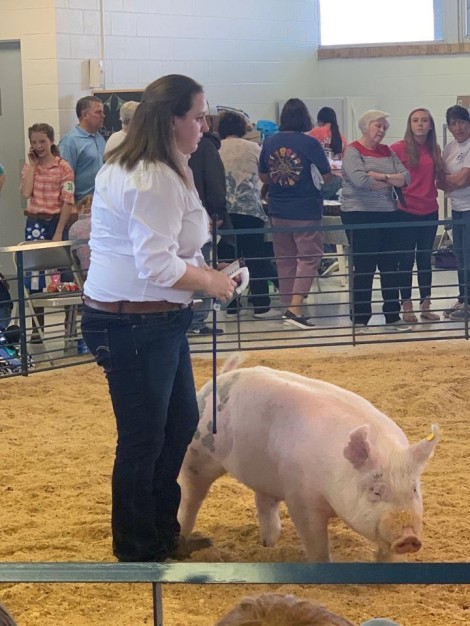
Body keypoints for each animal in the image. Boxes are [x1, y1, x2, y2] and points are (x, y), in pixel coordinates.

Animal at [178, 354, 438, 564]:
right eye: (376, 491)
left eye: (414, 490)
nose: (409, 537)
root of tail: (219, 377)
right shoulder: (300, 496)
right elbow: (314, 539)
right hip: (196, 454)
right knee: (191, 495)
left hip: (265, 474)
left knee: (263, 501)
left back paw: (269, 545)